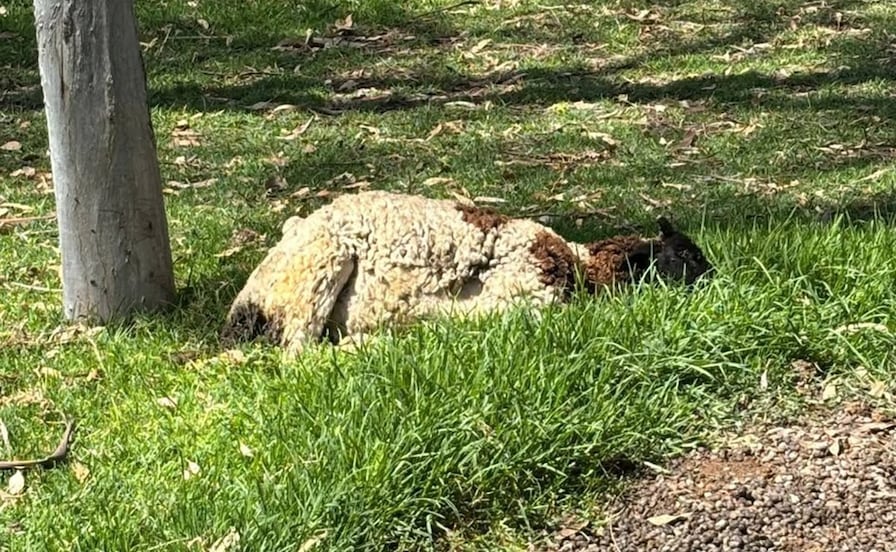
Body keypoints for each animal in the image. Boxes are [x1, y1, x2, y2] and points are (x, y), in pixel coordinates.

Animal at [221, 190, 712, 355]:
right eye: (687, 255)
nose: (714, 279)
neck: (579, 265)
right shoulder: (519, 299)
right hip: (319, 266)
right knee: (299, 354)